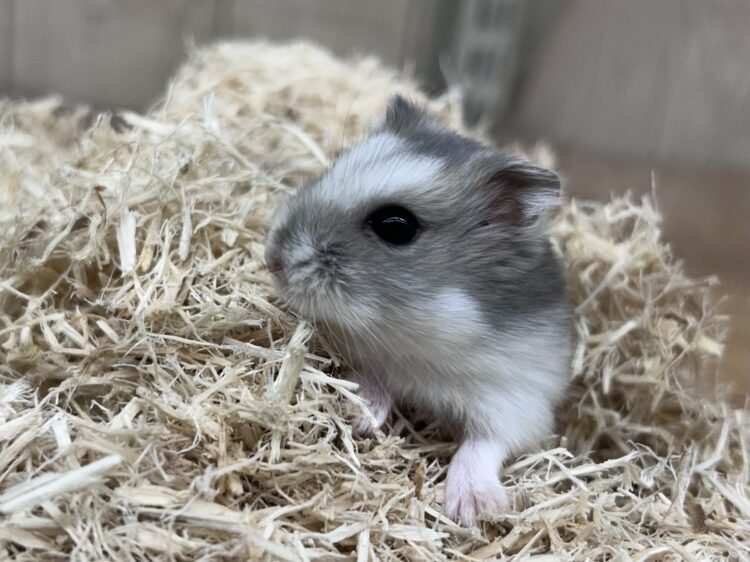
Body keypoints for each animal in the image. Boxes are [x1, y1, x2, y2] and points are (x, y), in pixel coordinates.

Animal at [264, 95, 572, 526]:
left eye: (396, 226)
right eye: (331, 170)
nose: (271, 260)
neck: (421, 324)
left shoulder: (518, 401)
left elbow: (485, 444)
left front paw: (474, 511)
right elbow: (370, 377)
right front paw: (360, 415)